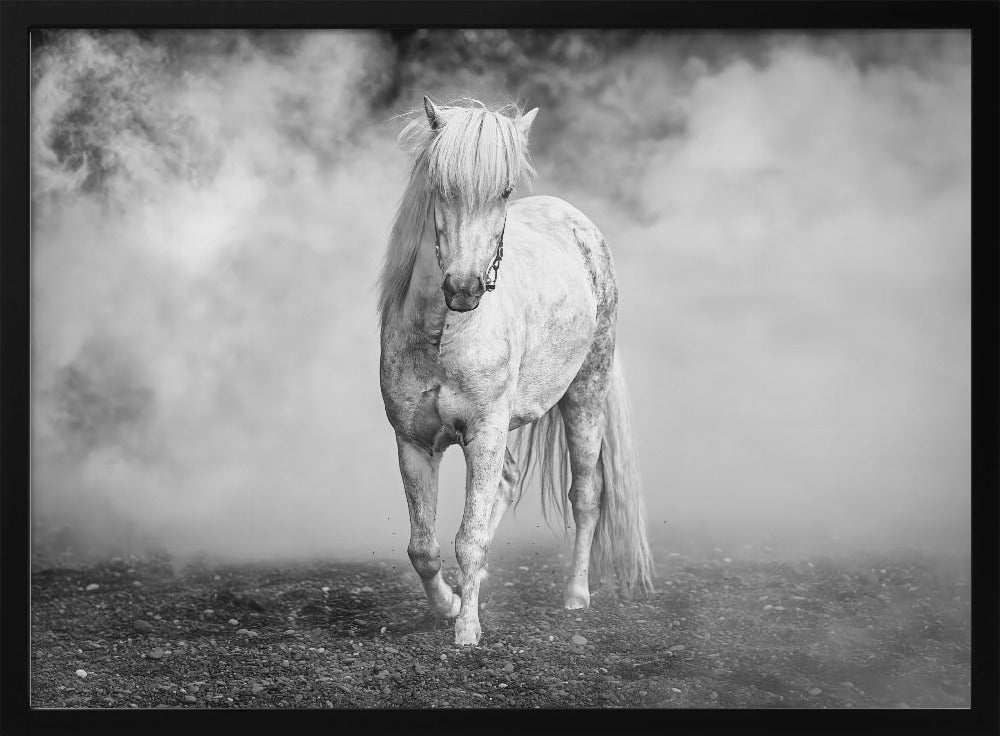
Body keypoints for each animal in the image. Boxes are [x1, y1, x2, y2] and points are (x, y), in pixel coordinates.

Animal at [378, 96, 654, 646]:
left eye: (504, 191)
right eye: (440, 186)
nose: (463, 288)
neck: (443, 335)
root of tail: (581, 225)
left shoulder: (484, 431)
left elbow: (469, 537)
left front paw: (466, 630)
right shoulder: (413, 442)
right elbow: (423, 547)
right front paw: (449, 605)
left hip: (585, 397)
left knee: (586, 495)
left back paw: (576, 596)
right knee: (506, 483)